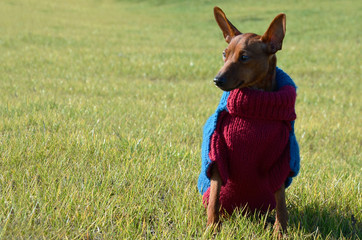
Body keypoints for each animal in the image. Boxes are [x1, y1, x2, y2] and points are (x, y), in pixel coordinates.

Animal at [202, 7, 298, 236]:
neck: (254, 113)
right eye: (224, 54)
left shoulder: (280, 161)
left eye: (244, 57)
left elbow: (281, 202)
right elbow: (214, 197)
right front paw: (212, 228)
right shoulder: (218, 154)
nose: (217, 80)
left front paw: (280, 231)